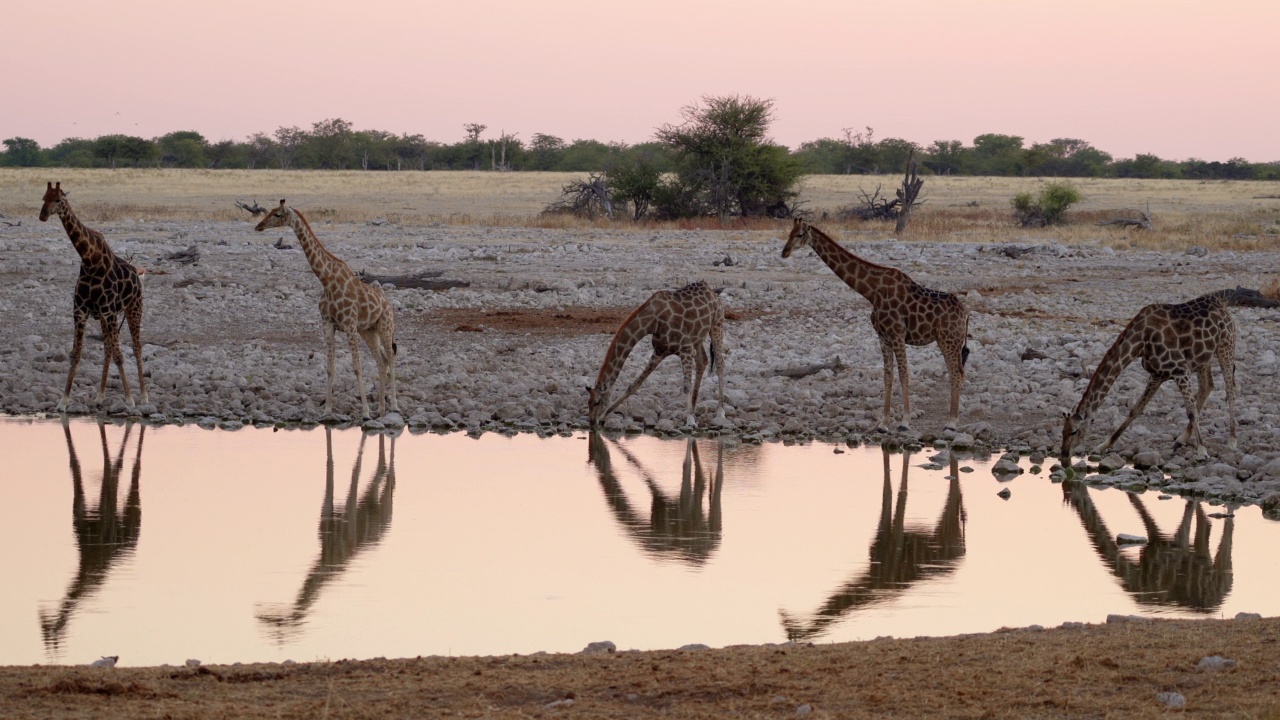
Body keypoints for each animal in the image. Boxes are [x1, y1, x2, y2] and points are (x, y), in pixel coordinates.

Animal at [38, 181, 147, 412]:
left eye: (58, 200)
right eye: (43, 198)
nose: (43, 215)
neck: (90, 260)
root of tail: (137, 273)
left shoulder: (108, 311)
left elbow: (120, 356)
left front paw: (129, 400)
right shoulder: (81, 311)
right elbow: (75, 355)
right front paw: (63, 401)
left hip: (133, 309)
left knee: (136, 348)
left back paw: (143, 396)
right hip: (108, 317)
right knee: (107, 349)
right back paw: (99, 396)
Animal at [253, 198, 394, 417]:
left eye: (277, 214)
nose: (258, 226)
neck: (327, 281)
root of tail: (387, 303)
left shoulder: (349, 325)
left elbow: (357, 367)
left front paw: (364, 412)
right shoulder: (328, 325)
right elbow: (330, 368)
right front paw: (327, 409)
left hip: (386, 327)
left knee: (391, 359)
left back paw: (393, 405)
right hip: (369, 331)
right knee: (382, 361)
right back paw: (380, 407)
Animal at [586, 279, 727, 425]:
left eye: (597, 402)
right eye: (588, 402)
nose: (592, 422)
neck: (652, 322)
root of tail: (712, 291)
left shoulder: (685, 348)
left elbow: (686, 386)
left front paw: (690, 421)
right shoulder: (660, 351)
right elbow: (634, 385)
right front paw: (604, 416)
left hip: (717, 325)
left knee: (720, 364)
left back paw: (720, 412)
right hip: (698, 337)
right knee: (702, 361)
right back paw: (693, 409)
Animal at [778, 217, 967, 430]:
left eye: (800, 234)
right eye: (789, 233)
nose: (784, 252)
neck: (872, 292)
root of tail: (965, 313)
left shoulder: (897, 334)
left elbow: (903, 374)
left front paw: (905, 421)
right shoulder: (883, 337)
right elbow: (887, 376)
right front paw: (883, 422)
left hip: (949, 340)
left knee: (956, 372)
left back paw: (952, 422)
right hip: (949, 341)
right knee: (958, 371)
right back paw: (952, 418)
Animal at [1059, 286, 1239, 458]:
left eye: (1074, 431)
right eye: (1062, 431)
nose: (1064, 455)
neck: (1140, 342)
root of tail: (1221, 305)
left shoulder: (1180, 371)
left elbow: (1191, 412)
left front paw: (1202, 450)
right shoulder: (1157, 375)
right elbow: (1135, 409)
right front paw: (1104, 445)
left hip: (1226, 346)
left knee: (1230, 389)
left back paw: (1232, 440)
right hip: (1203, 357)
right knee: (1207, 386)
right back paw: (1181, 439)